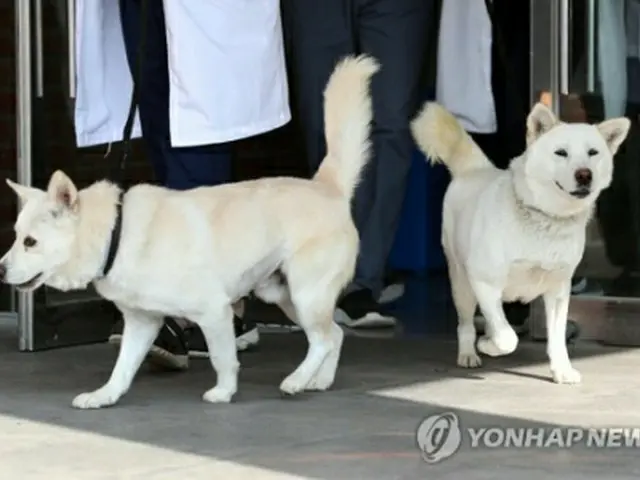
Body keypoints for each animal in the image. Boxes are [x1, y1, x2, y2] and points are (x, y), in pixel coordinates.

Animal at [0, 56, 380, 408]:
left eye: (30, 242)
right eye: (16, 236)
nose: (1, 269)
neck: (116, 234)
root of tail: (327, 186)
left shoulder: (214, 312)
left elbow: (223, 358)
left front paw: (223, 392)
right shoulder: (141, 324)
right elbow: (122, 368)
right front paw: (104, 396)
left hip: (305, 294)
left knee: (323, 339)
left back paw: (297, 380)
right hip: (283, 295)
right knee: (333, 336)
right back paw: (320, 380)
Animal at [410, 100, 632, 382]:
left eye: (593, 152)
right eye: (561, 153)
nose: (584, 174)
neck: (546, 218)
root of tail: (477, 169)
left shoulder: (558, 290)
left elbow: (557, 338)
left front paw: (562, 370)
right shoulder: (485, 282)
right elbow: (507, 338)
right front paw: (488, 345)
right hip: (462, 283)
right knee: (466, 324)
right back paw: (469, 353)